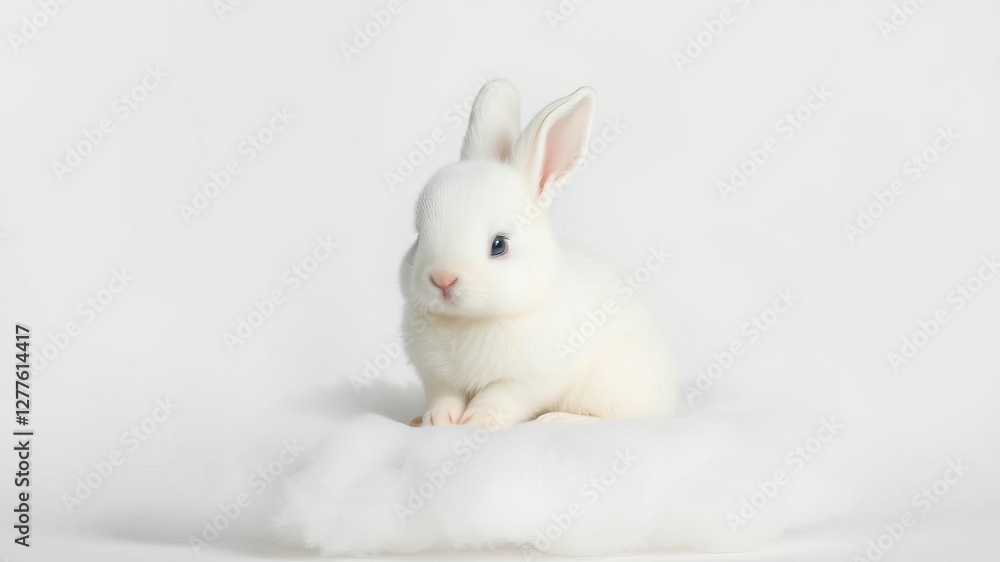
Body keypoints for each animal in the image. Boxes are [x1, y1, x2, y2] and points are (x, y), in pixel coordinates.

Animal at [400, 79, 677, 429]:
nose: (442, 279)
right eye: (419, 234)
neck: (468, 320)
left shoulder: (528, 381)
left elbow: (500, 398)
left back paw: (557, 420)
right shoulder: (437, 377)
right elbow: (444, 396)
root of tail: (668, 402)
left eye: (499, 244)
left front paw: (477, 420)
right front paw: (438, 420)